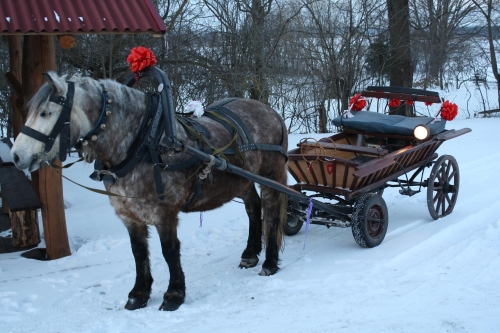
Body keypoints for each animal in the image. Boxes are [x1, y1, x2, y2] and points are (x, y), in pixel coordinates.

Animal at [9, 69, 288, 312]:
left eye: (45, 113)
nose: (17, 156)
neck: (142, 144)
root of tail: (270, 110)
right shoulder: (129, 214)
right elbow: (138, 252)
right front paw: (139, 294)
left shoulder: (163, 213)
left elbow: (169, 250)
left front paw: (174, 294)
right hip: (242, 180)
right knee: (253, 209)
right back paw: (250, 254)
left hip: (270, 175)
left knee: (272, 213)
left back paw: (269, 262)